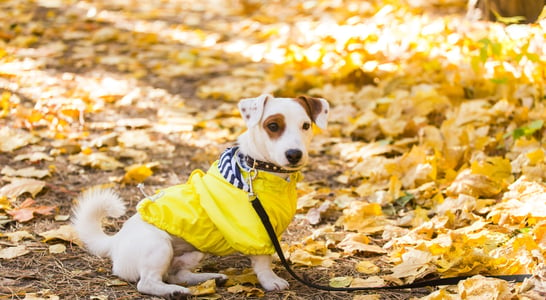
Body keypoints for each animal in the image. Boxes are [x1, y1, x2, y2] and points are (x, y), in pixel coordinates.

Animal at [71, 94, 328, 298]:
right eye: (273, 126)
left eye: (306, 126)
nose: (294, 154)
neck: (263, 171)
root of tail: (115, 242)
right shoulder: (256, 232)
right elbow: (263, 260)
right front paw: (270, 280)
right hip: (159, 246)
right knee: (148, 282)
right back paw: (174, 292)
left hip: (194, 252)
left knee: (176, 274)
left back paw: (208, 279)